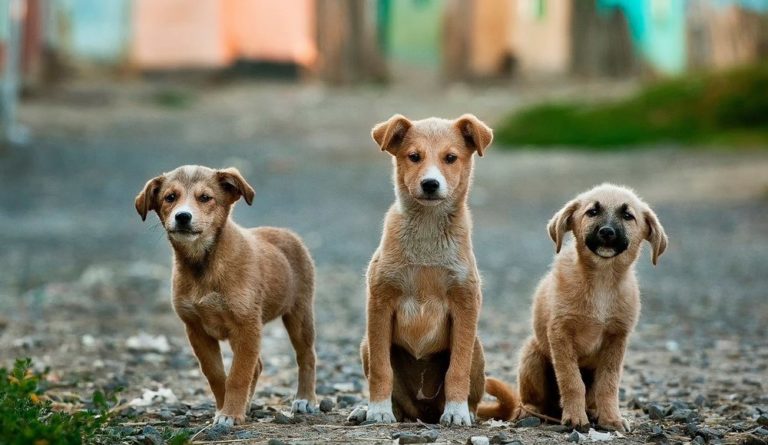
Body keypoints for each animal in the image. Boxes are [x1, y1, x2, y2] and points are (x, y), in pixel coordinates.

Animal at [136, 165, 318, 424]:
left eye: (205, 198)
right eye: (170, 197)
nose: (183, 217)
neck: (204, 265)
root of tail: (286, 233)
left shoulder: (247, 326)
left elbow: (238, 375)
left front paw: (230, 414)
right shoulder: (196, 330)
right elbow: (216, 374)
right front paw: (225, 408)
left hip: (299, 314)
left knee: (306, 356)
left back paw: (305, 399)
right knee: (258, 365)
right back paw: (248, 405)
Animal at [358, 112, 496, 424]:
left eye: (451, 158)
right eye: (414, 156)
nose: (430, 184)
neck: (428, 232)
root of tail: (423, 412)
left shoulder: (465, 303)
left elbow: (456, 370)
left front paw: (456, 412)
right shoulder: (380, 303)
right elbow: (382, 371)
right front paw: (378, 410)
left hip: (477, 348)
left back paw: (465, 412)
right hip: (365, 345)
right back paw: (367, 410)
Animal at [480, 183, 664, 430]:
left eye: (628, 216)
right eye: (592, 212)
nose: (607, 232)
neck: (602, 281)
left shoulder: (616, 339)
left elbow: (609, 384)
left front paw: (611, 418)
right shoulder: (560, 334)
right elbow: (571, 381)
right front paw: (576, 418)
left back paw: (593, 412)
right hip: (532, 354)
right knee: (530, 400)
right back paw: (530, 412)